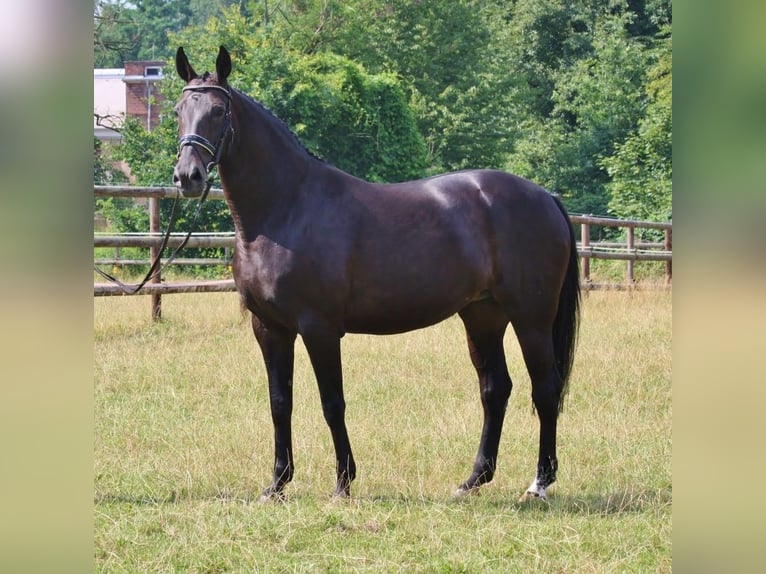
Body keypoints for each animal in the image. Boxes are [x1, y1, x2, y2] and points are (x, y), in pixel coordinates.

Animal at [172, 47, 584, 502]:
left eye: (218, 111)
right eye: (178, 111)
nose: (188, 176)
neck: (287, 208)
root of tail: (545, 196)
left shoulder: (319, 327)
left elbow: (331, 402)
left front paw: (342, 483)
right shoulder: (269, 328)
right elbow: (280, 402)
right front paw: (276, 485)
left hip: (532, 319)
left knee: (545, 390)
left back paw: (539, 483)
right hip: (483, 316)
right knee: (496, 390)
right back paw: (472, 480)